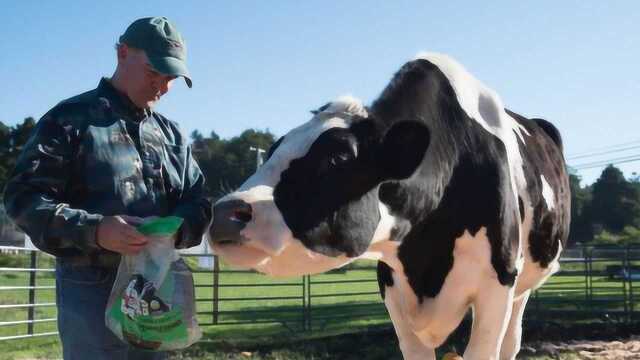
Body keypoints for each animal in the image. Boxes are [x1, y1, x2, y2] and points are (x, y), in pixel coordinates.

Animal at [209, 52, 568, 358]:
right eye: (271, 151)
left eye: (339, 157)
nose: (225, 213)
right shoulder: (391, 286)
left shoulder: (498, 282)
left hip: (520, 287)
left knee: (511, 342)